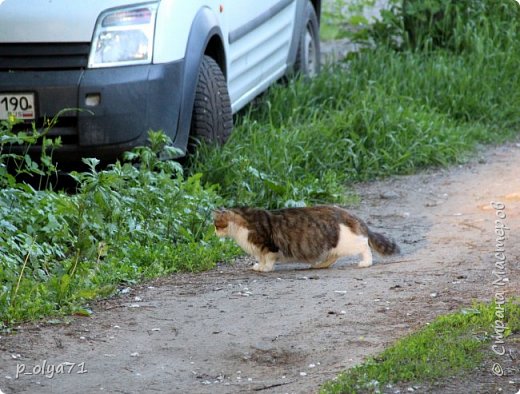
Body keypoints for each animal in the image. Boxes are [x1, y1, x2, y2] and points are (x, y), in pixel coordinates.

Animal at [213, 206, 400, 270]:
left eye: (216, 225)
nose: (214, 233)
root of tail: (349, 214)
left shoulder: (268, 246)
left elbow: (268, 260)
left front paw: (264, 268)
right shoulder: (260, 250)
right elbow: (261, 258)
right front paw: (259, 266)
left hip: (347, 242)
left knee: (364, 246)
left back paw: (365, 262)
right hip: (332, 246)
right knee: (334, 256)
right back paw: (319, 265)